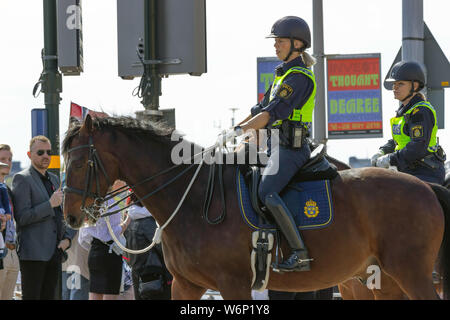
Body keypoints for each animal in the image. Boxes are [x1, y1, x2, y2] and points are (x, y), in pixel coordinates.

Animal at [63, 115, 450, 300]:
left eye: (79, 161)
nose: (70, 215)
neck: (191, 199)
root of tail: (426, 188)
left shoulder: (232, 284)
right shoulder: (186, 285)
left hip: (409, 273)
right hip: (381, 281)